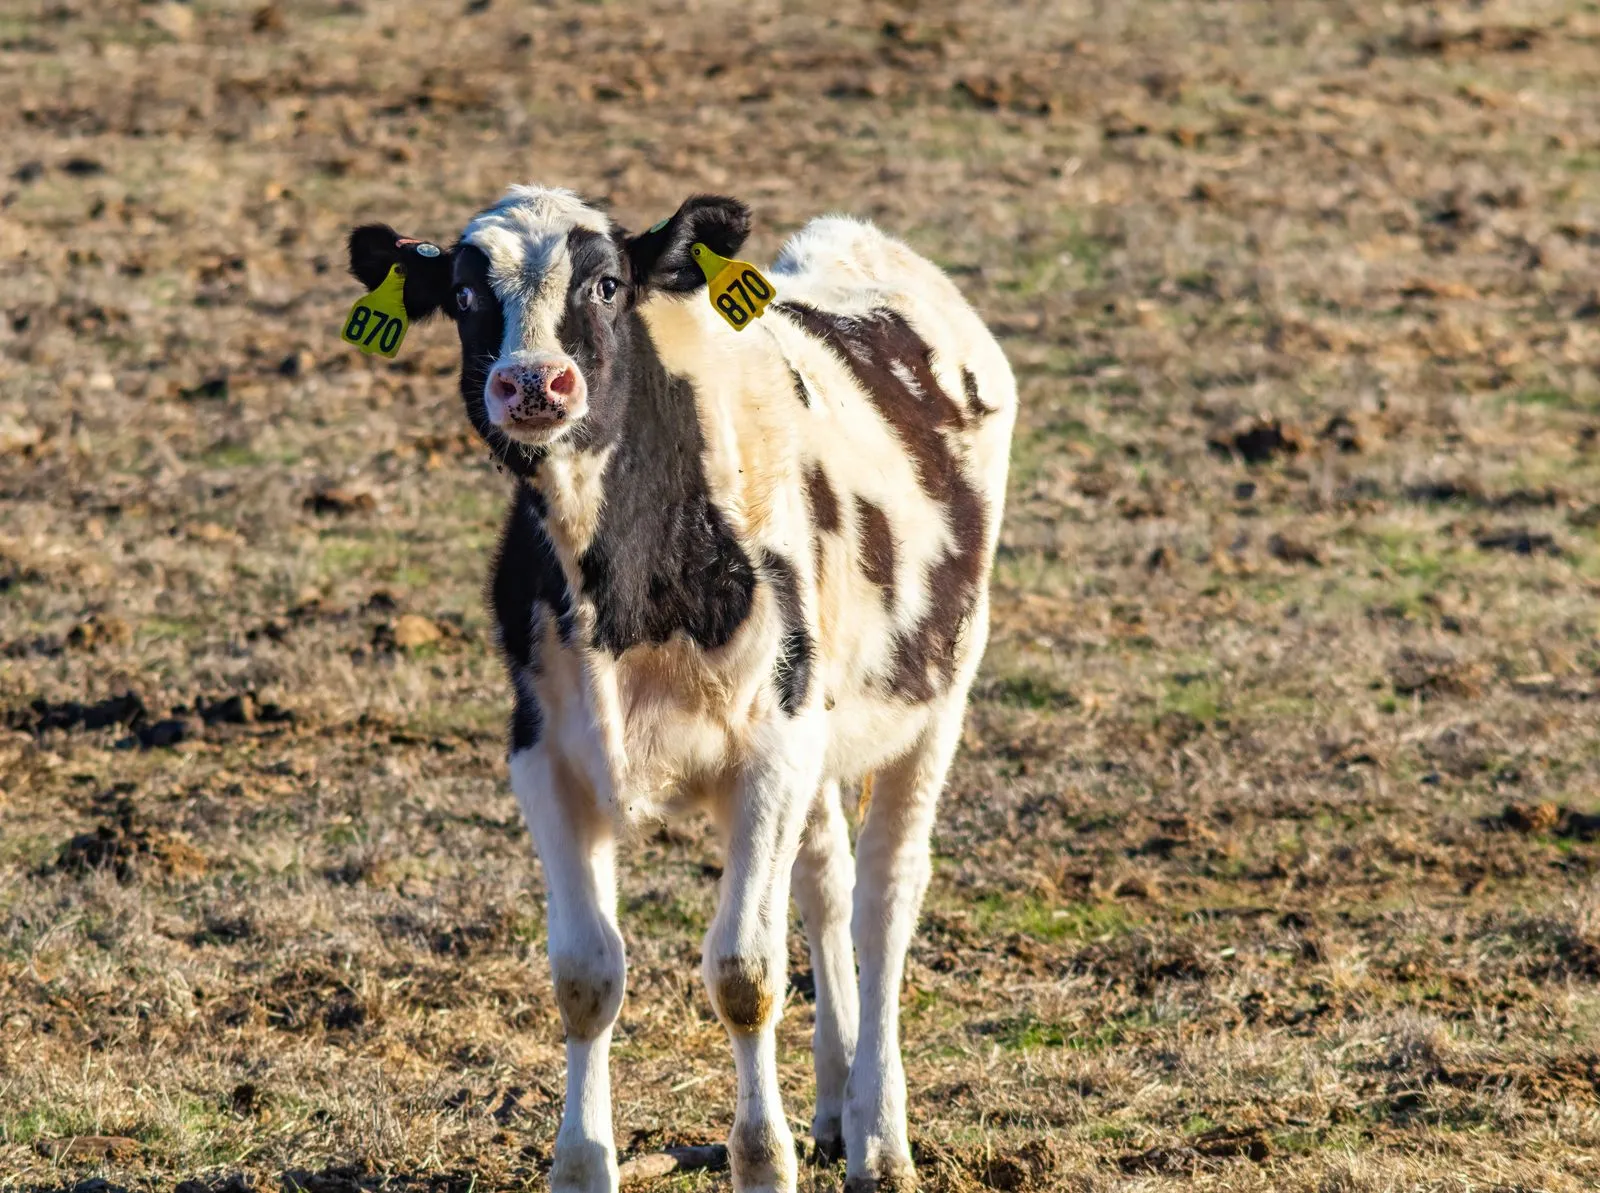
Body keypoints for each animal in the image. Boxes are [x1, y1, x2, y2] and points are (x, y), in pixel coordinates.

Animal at [345, 186, 1016, 1193]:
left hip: (938, 694)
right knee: (825, 878)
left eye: (607, 283)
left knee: (885, 896)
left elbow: (744, 972)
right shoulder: (546, 755)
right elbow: (586, 975)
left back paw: (880, 1136)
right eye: (464, 295)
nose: (534, 384)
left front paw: (762, 1162)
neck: (626, 575)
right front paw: (582, 1165)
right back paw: (834, 1107)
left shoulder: (771, 752)